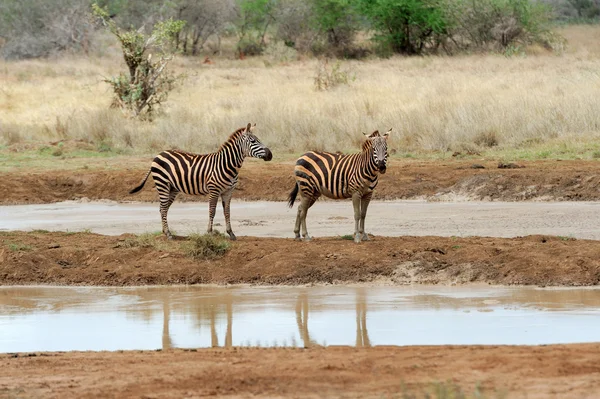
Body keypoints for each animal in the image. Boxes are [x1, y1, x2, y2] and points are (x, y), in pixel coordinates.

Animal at [131, 122, 274, 241]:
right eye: (253, 141)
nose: (270, 155)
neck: (227, 165)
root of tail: (159, 154)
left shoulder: (228, 191)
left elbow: (227, 212)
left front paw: (231, 233)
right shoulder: (214, 189)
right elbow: (212, 211)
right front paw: (210, 233)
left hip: (172, 188)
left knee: (163, 209)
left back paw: (165, 232)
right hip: (162, 184)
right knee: (163, 207)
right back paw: (168, 234)